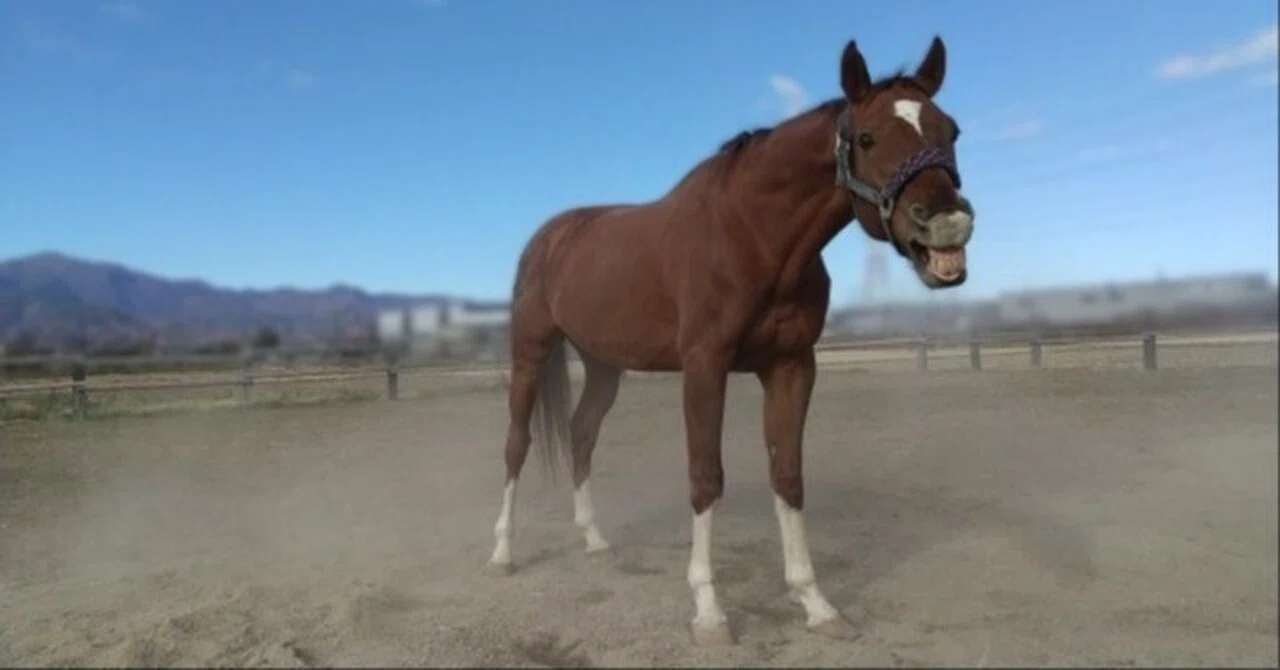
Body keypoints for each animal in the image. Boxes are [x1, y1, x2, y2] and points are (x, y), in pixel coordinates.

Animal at [487, 36, 974, 645]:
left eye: (950, 131)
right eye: (866, 138)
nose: (947, 228)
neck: (753, 236)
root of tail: (550, 237)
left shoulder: (792, 367)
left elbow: (788, 476)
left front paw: (815, 603)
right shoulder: (704, 366)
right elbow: (705, 476)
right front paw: (709, 612)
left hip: (603, 366)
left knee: (581, 434)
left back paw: (595, 539)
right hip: (530, 353)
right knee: (516, 444)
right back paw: (503, 553)